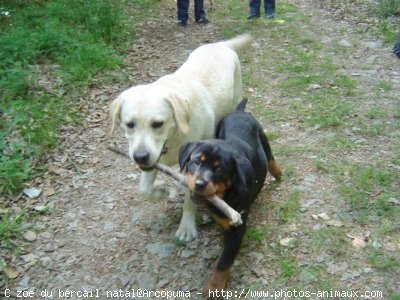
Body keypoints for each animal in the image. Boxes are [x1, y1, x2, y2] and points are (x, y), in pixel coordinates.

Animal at [178, 99, 282, 296]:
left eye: (219, 169)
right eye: (196, 162)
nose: (200, 183)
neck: (224, 196)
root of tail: (239, 111)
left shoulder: (238, 228)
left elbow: (223, 261)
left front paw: (214, 287)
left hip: (263, 139)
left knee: (271, 157)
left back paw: (278, 173)